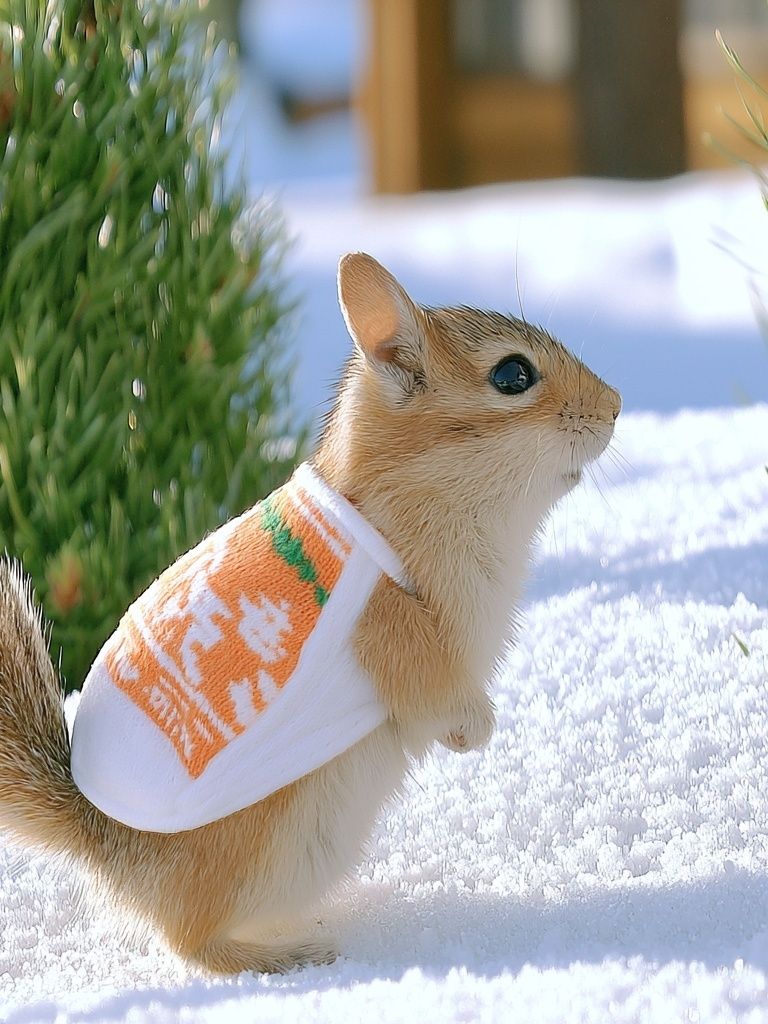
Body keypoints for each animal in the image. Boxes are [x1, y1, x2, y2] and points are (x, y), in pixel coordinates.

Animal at [0, 252, 620, 975]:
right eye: (513, 375)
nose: (616, 404)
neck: (409, 494)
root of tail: (101, 842)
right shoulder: (395, 629)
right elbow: (438, 689)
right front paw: (476, 732)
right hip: (258, 854)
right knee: (188, 943)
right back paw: (291, 955)